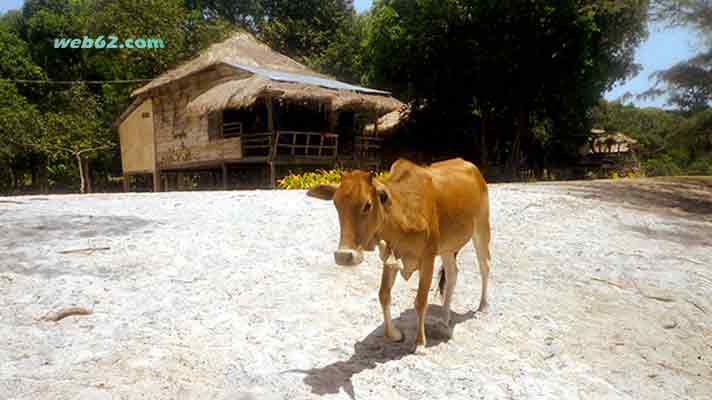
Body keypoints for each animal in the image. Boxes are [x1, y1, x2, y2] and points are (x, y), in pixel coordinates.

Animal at [306, 158, 490, 352]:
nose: (343, 255)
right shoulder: (390, 258)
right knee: (452, 274)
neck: (402, 213)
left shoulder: (428, 258)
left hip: (481, 228)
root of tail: (470, 165)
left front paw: (420, 343)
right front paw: (393, 334)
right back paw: (444, 320)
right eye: (336, 204)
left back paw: (483, 306)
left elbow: (420, 300)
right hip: (447, 248)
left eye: (367, 205)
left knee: (484, 265)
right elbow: (384, 295)